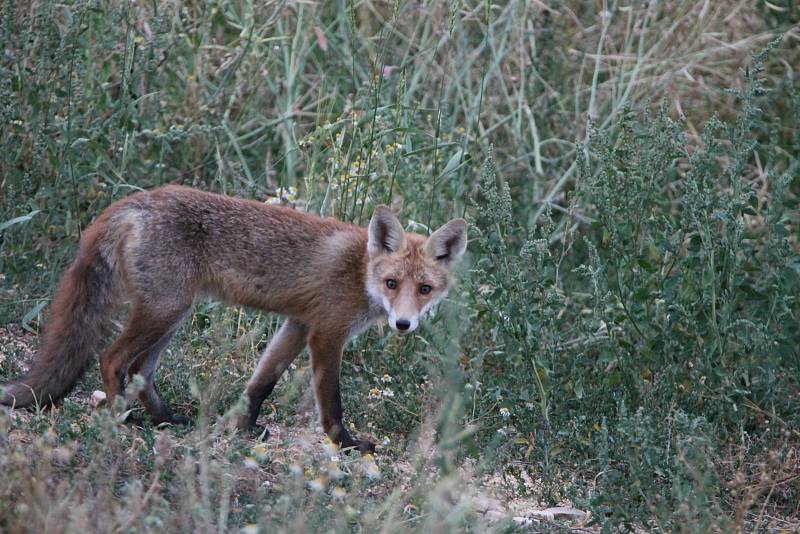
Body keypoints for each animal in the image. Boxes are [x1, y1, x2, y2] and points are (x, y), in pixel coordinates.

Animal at [1, 186, 468, 454]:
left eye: (424, 289)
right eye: (392, 283)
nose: (403, 325)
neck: (358, 273)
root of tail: (129, 203)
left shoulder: (297, 324)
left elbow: (261, 383)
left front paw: (243, 427)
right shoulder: (326, 333)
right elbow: (331, 402)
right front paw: (347, 444)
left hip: (174, 314)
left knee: (141, 370)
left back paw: (166, 420)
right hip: (164, 311)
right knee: (113, 358)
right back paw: (122, 418)